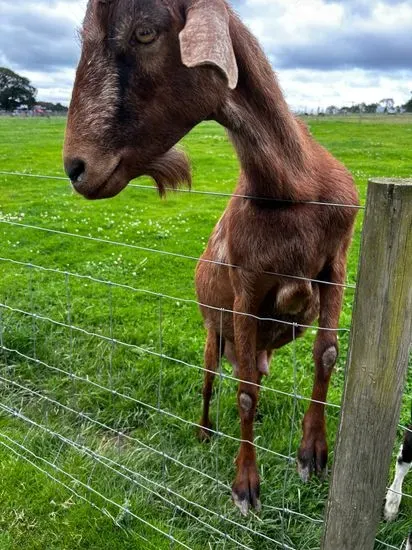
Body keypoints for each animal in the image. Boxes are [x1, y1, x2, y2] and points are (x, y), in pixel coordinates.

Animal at [62, 0, 358, 516]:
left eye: (145, 32)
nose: (75, 167)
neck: (292, 188)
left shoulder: (334, 264)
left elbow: (326, 355)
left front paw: (313, 454)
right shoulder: (246, 288)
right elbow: (243, 395)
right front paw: (246, 487)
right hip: (214, 337)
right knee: (211, 383)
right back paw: (204, 433)